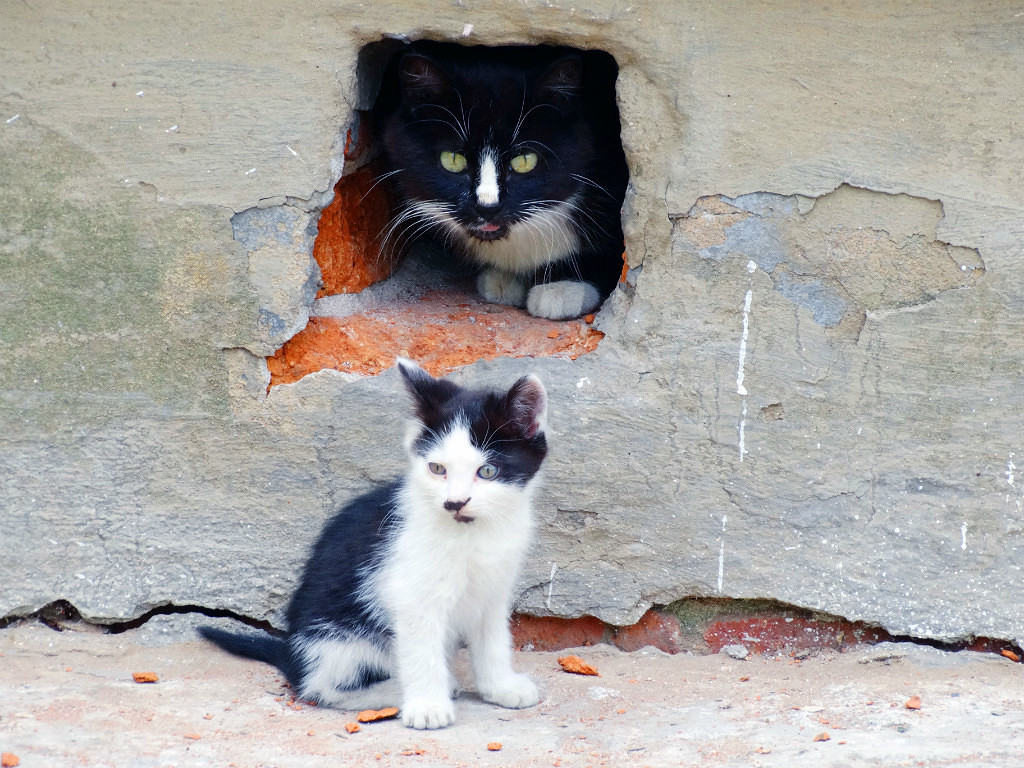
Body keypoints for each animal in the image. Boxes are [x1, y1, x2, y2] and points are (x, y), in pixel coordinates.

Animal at [201, 360, 552, 733]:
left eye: (487, 471)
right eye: (437, 468)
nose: (454, 503)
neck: (472, 533)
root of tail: (293, 654)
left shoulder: (494, 589)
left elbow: (493, 641)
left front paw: (501, 687)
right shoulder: (410, 593)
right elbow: (421, 652)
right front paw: (427, 706)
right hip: (341, 638)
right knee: (320, 687)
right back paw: (401, 690)